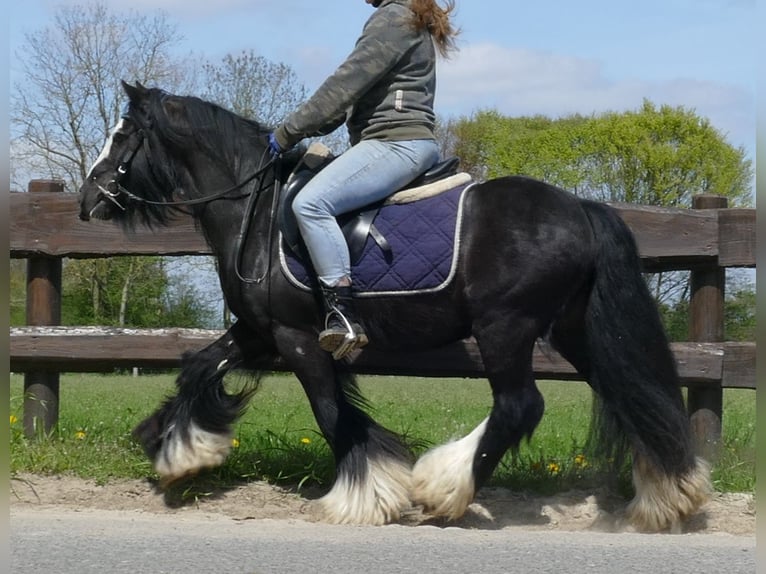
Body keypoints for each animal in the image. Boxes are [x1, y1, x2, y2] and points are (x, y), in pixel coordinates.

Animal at [79, 80, 712, 532]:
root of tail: (581, 208)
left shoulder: (298, 339)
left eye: (123, 135)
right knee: (629, 392)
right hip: (575, 329)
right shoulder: (260, 331)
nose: (88, 199)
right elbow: (198, 366)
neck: (255, 213)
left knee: (520, 406)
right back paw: (669, 498)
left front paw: (366, 496)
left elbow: (331, 415)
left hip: (505, 328)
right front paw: (177, 449)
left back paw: (444, 491)